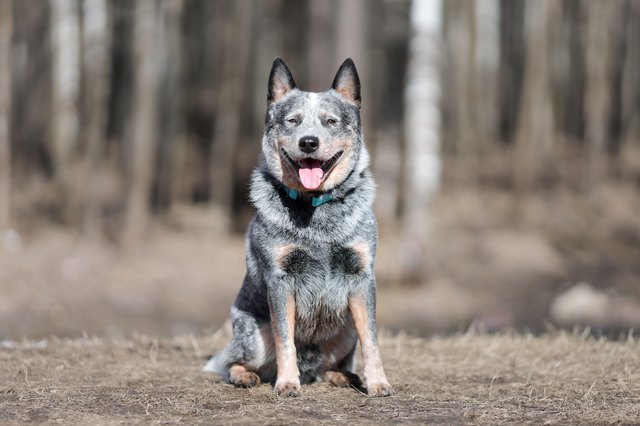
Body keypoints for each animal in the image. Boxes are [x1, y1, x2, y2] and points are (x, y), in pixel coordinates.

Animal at [206, 58, 396, 398]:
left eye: (330, 121)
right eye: (292, 121)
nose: (309, 142)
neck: (316, 210)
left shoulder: (361, 277)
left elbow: (371, 339)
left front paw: (378, 383)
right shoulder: (280, 280)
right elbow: (285, 339)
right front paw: (287, 383)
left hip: (345, 328)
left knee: (330, 365)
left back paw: (344, 376)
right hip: (253, 334)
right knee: (232, 362)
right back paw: (246, 376)